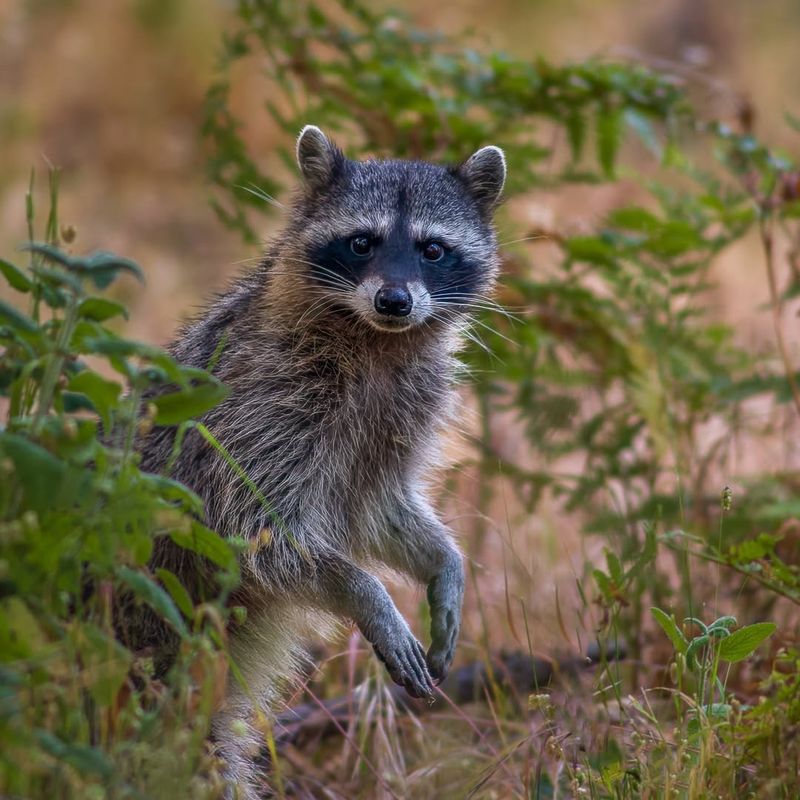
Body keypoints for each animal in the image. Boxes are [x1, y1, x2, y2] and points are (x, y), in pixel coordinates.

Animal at [134, 128, 504, 796]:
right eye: (362, 242)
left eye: (433, 250)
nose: (394, 300)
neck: (378, 341)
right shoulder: (262, 407)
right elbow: (256, 530)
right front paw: (366, 593)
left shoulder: (400, 413)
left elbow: (377, 505)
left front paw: (445, 563)